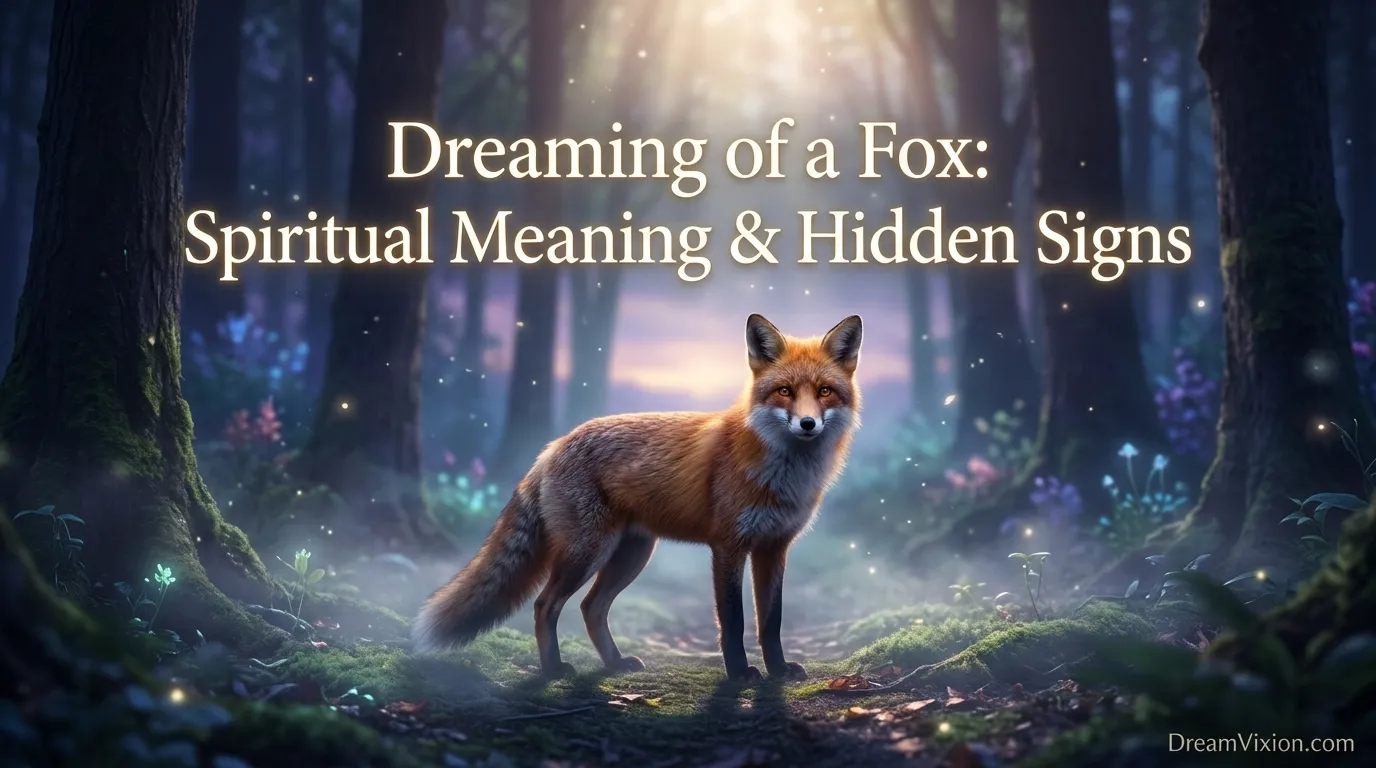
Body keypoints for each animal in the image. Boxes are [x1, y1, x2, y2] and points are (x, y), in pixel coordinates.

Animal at [411, 313, 863, 682]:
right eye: (784, 391)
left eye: (825, 392)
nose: (808, 424)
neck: (782, 475)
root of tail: (552, 446)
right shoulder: (728, 546)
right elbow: (733, 621)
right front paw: (739, 675)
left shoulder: (773, 548)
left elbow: (771, 621)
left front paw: (779, 671)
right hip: (587, 552)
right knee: (545, 605)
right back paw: (554, 670)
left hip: (631, 554)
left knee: (591, 608)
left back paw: (613, 664)